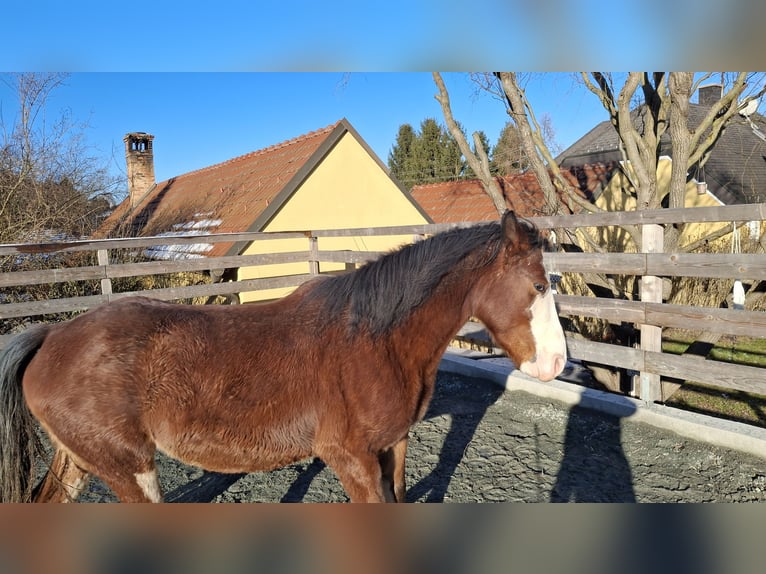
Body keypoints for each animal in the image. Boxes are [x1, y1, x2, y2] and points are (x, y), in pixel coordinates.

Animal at [0, 210, 566, 503]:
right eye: (539, 286)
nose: (557, 365)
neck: (375, 340)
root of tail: (52, 336)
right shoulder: (351, 458)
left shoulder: (393, 447)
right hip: (128, 469)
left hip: (79, 461)